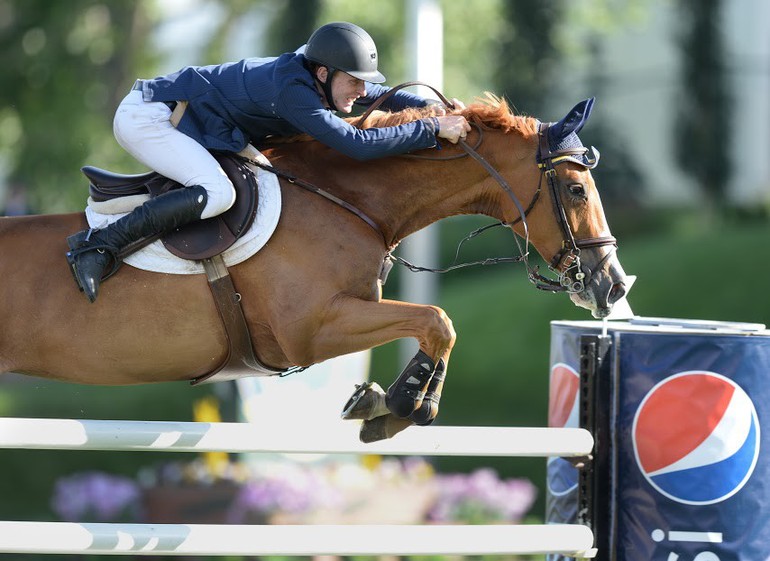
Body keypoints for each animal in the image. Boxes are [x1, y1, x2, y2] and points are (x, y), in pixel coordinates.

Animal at [0, 93, 628, 442]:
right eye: (576, 189)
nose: (613, 285)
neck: (348, 198)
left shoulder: (347, 315)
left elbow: (435, 324)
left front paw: (382, 403)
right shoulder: (308, 331)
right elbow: (437, 319)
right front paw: (402, 404)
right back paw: (89, 261)